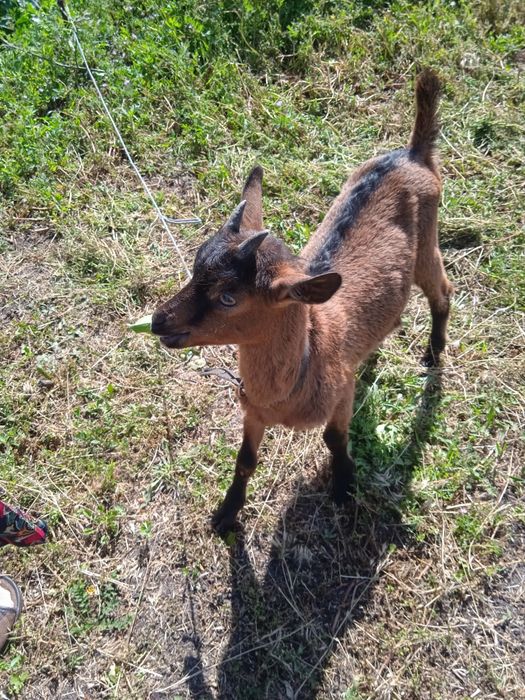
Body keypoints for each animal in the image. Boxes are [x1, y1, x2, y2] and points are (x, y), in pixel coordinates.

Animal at [151, 69, 453, 534]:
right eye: (196, 263)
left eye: (228, 297)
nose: (158, 321)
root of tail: (412, 153)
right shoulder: (253, 411)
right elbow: (245, 461)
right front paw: (226, 514)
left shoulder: (340, 394)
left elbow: (334, 438)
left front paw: (344, 488)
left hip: (428, 245)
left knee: (443, 292)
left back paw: (434, 353)